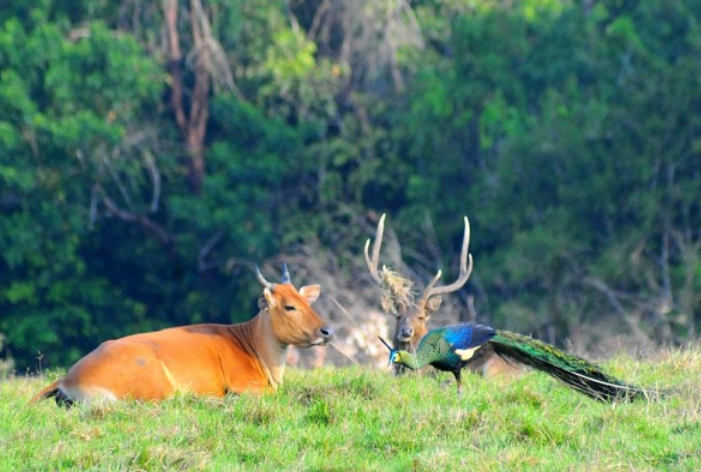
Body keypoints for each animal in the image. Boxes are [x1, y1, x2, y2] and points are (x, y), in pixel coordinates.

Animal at [32, 266, 336, 406]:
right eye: (289, 306)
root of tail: (68, 378)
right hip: (159, 386)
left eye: (307, 301)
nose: (327, 330)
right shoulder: (248, 388)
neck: (253, 347)